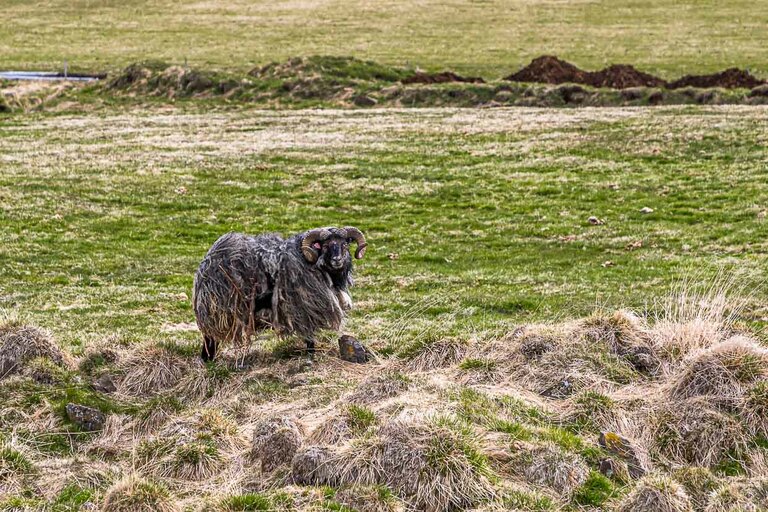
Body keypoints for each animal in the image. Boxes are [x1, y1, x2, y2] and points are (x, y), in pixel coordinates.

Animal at [192, 226, 367, 361]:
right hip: (217, 310)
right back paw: (208, 361)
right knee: (210, 338)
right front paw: (311, 356)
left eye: (345, 244)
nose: (338, 260)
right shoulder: (304, 310)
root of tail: (206, 262)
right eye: (325, 246)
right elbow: (309, 337)